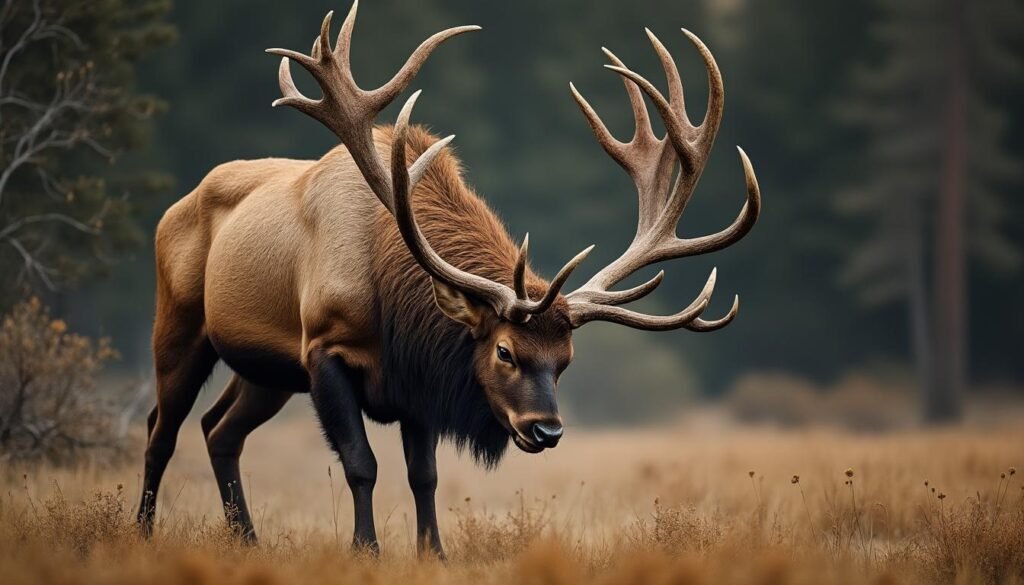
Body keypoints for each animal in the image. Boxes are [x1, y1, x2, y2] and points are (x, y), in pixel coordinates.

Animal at [136, 1, 760, 558]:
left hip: (267, 371)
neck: (396, 304)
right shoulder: (324, 348)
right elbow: (362, 463)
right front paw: (366, 550)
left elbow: (424, 475)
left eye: (565, 360)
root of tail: (172, 209)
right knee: (160, 429)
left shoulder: (416, 382)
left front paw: (433, 553)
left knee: (219, 430)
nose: (546, 431)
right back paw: (141, 531)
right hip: (181, 324)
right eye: (505, 351)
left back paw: (246, 540)